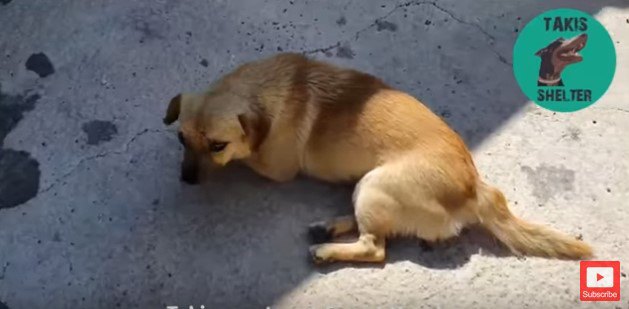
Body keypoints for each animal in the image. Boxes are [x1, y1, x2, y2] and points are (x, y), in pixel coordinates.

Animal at [164, 51, 592, 264]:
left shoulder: (274, 167)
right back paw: (328, 227)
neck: (264, 88)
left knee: (376, 248)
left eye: (217, 146)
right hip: (368, 185)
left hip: (376, 185)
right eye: (182, 138)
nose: (186, 179)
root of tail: (476, 190)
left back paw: (326, 250)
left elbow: (247, 158)